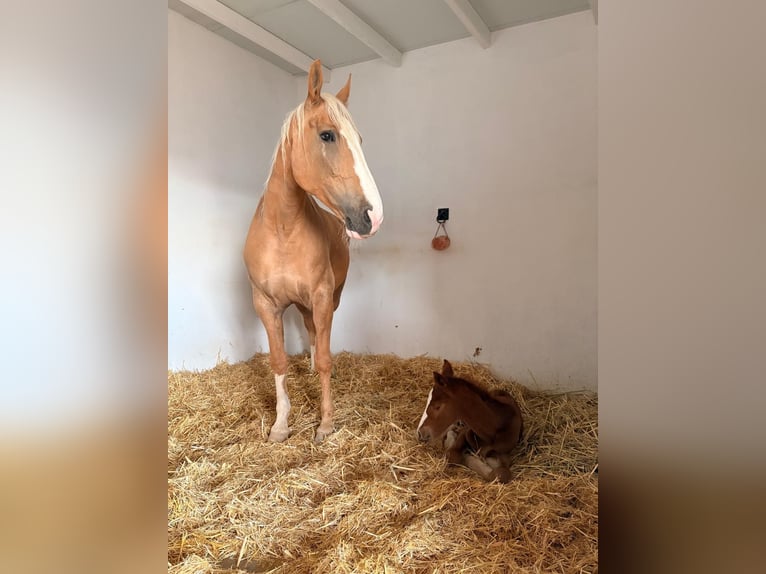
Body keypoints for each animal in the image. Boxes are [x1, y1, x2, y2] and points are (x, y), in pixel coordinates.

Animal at [243, 60, 383, 443]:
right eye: (327, 135)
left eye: (361, 140)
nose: (373, 216)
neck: (283, 230)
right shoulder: (266, 304)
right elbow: (278, 362)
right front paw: (280, 424)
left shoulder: (321, 296)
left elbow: (325, 359)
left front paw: (325, 423)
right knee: (310, 332)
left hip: (329, 300)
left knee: (320, 338)